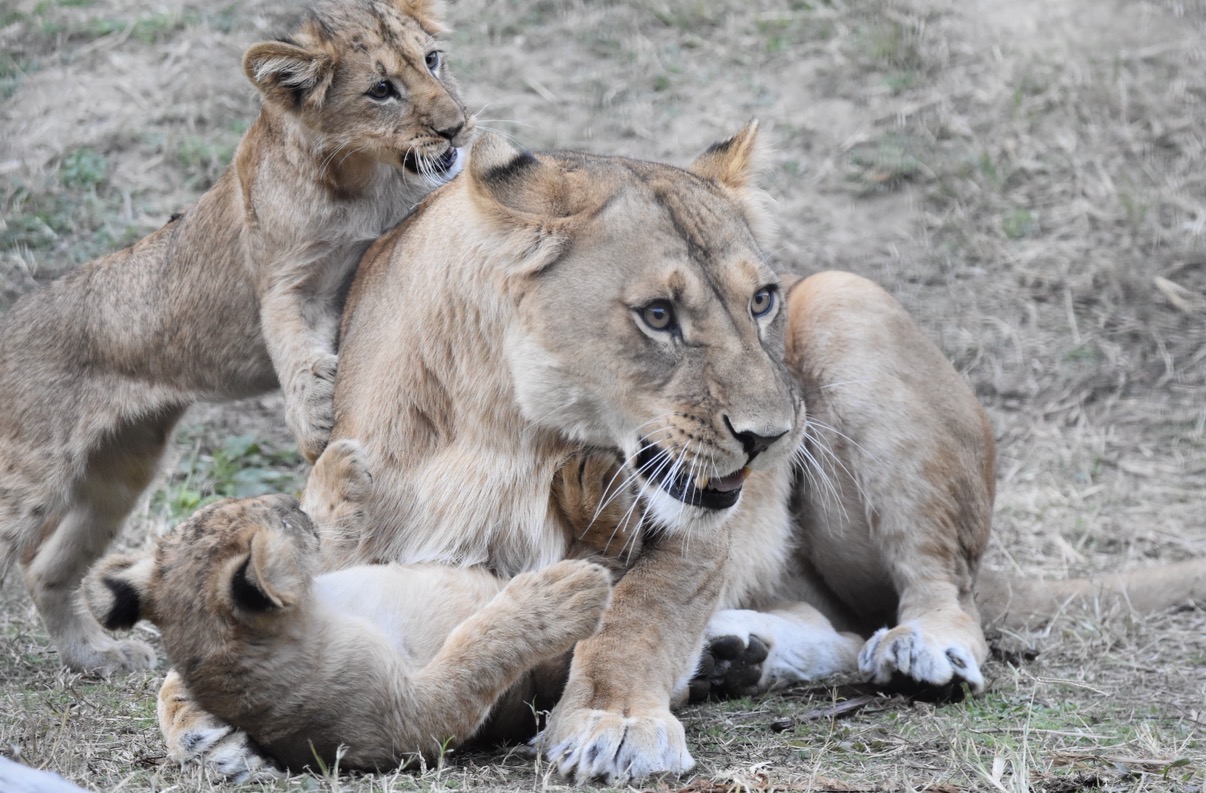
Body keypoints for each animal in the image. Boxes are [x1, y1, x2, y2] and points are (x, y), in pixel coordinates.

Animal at [0, 0, 474, 675]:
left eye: (432, 61)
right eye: (381, 90)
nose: (457, 127)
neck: (368, 179)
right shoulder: (283, 285)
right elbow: (297, 354)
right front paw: (316, 422)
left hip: (122, 469)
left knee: (46, 568)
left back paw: (96, 655)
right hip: (31, 473)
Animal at [82, 439, 612, 773]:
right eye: (278, 518)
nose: (287, 501)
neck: (325, 614)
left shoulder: (335, 571)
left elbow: (332, 534)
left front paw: (337, 465)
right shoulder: (410, 721)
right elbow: (476, 652)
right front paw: (559, 596)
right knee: (604, 548)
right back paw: (593, 490)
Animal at [158, 125, 1206, 783]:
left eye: (761, 298)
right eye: (658, 315)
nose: (772, 436)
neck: (503, 431)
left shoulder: (696, 522)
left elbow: (639, 612)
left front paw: (616, 723)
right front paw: (209, 720)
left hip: (849, 301)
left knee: (938, 586)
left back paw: (921, 648)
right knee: (828, 622)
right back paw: (738, 654)